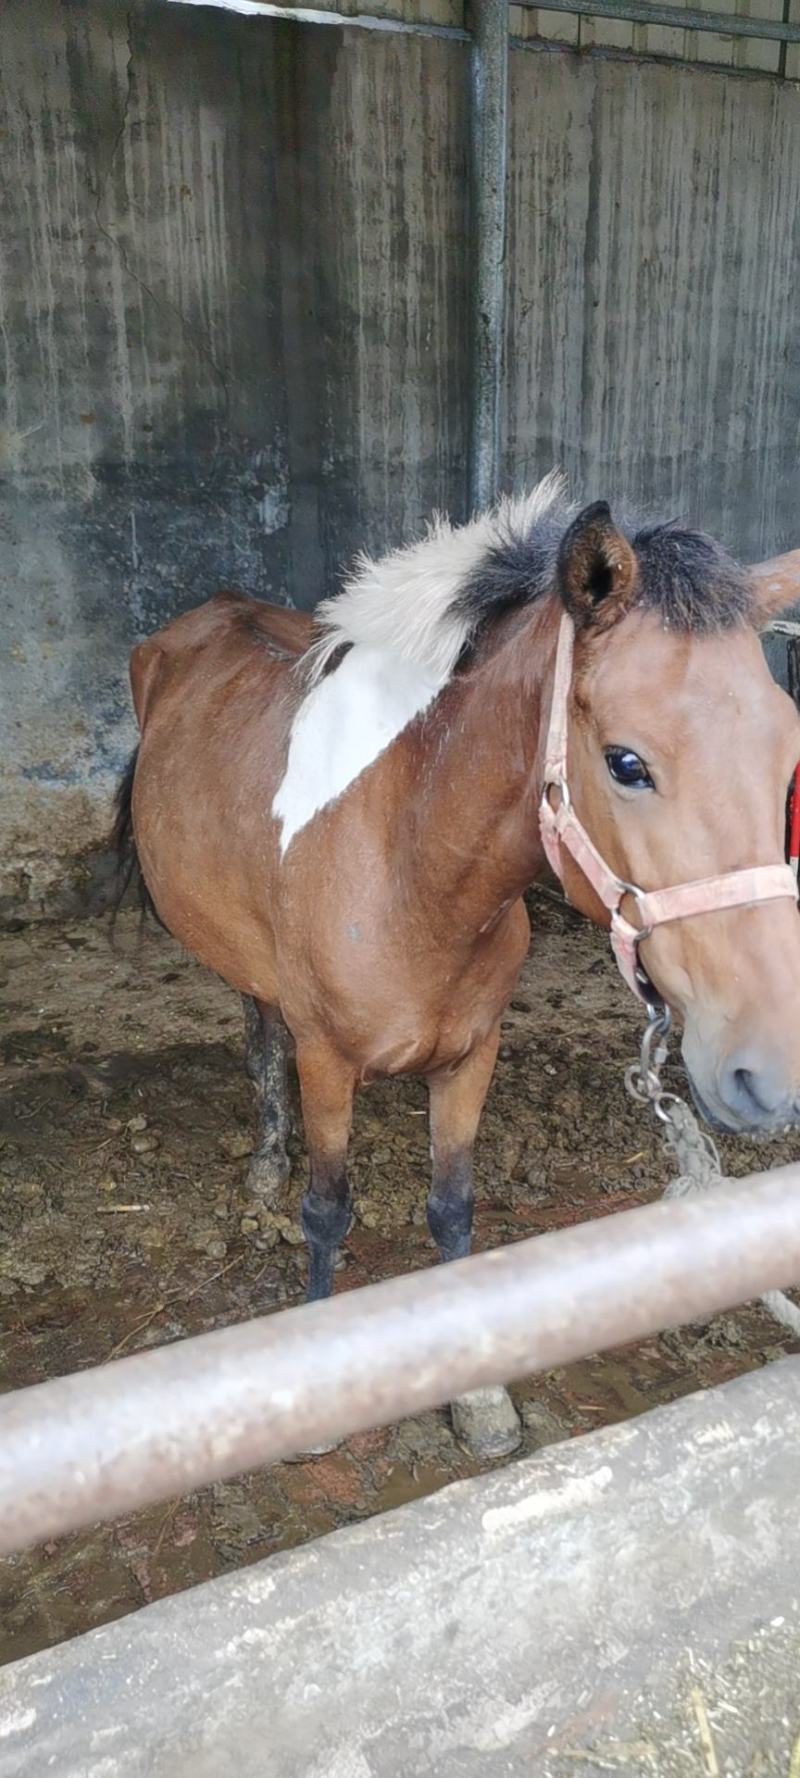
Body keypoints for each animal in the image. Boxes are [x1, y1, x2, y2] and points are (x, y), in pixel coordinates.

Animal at [115, 480, 800, 1450]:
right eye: (627, 763)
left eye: (788, 759)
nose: (769, 1074)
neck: (403, 856)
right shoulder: (329, 1062)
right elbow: (327, 1209)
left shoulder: (473, 1054)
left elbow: (453, 1208)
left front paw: (476, 1400)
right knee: (260, 1033)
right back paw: (266, 1159)